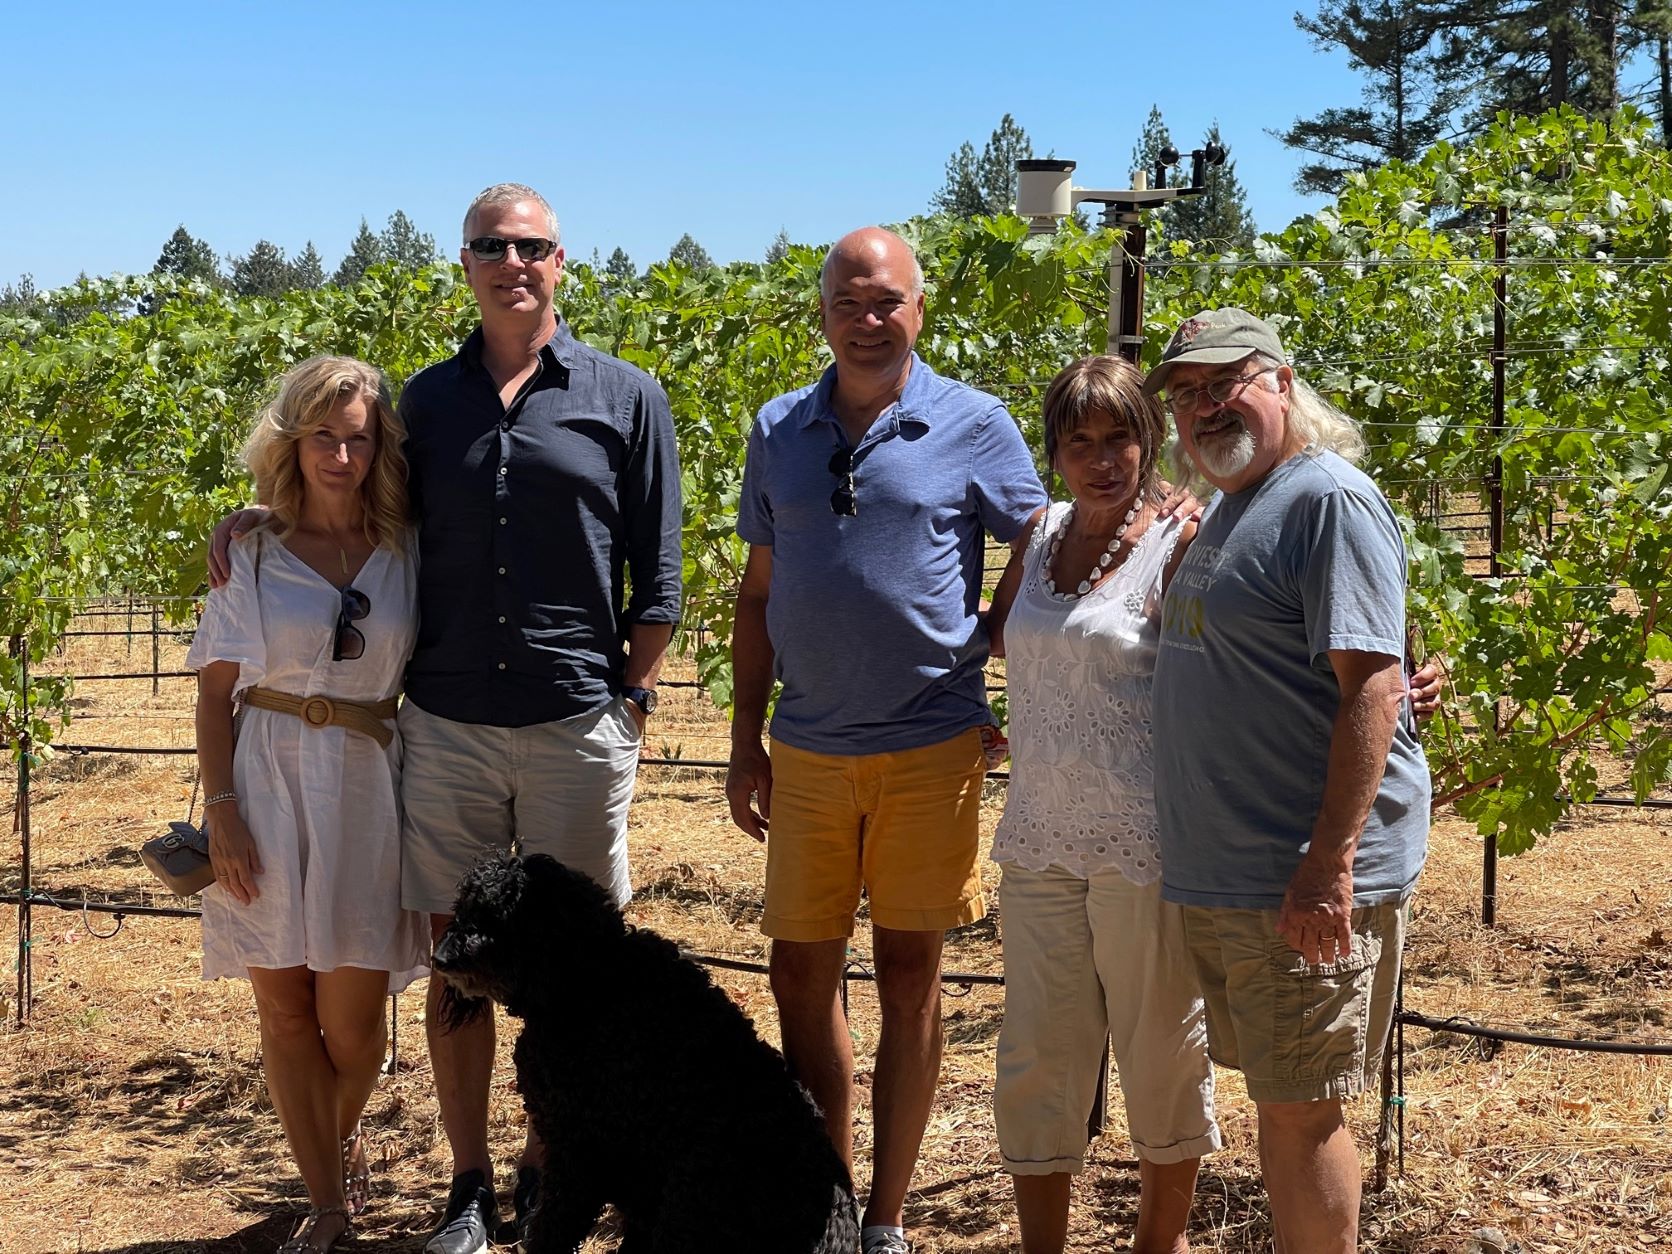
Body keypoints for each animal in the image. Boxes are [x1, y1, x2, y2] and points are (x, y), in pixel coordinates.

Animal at [431, 856, 862, 1254]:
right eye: (464, 908)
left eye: (496, 916)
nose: (441, 958)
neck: (589, 982)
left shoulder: (578, 1150)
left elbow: (554, 1225)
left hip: (690, 1198)